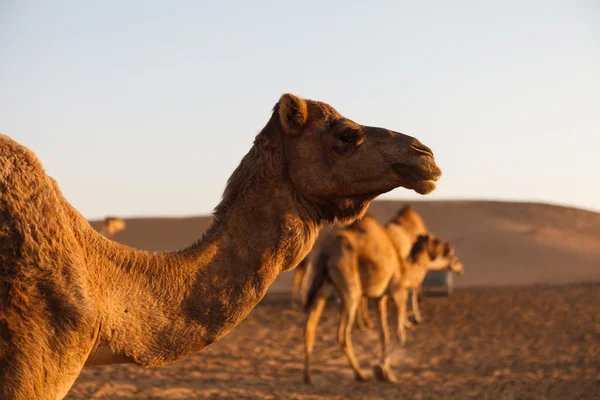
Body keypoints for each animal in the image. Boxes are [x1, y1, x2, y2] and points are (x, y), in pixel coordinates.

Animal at [302, 214, 462, 382]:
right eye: (438, 244)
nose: (449, 246)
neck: (404, 268)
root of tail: (327, 252)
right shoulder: (397, 291)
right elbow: (400, 335)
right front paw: (382, 370)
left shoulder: (380, 298)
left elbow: (383, 335)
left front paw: (386, 370)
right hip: (350, 290)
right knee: (342, 335)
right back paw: (360, 374)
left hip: (321, 290)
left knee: (309, 330)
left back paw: (308, 377)